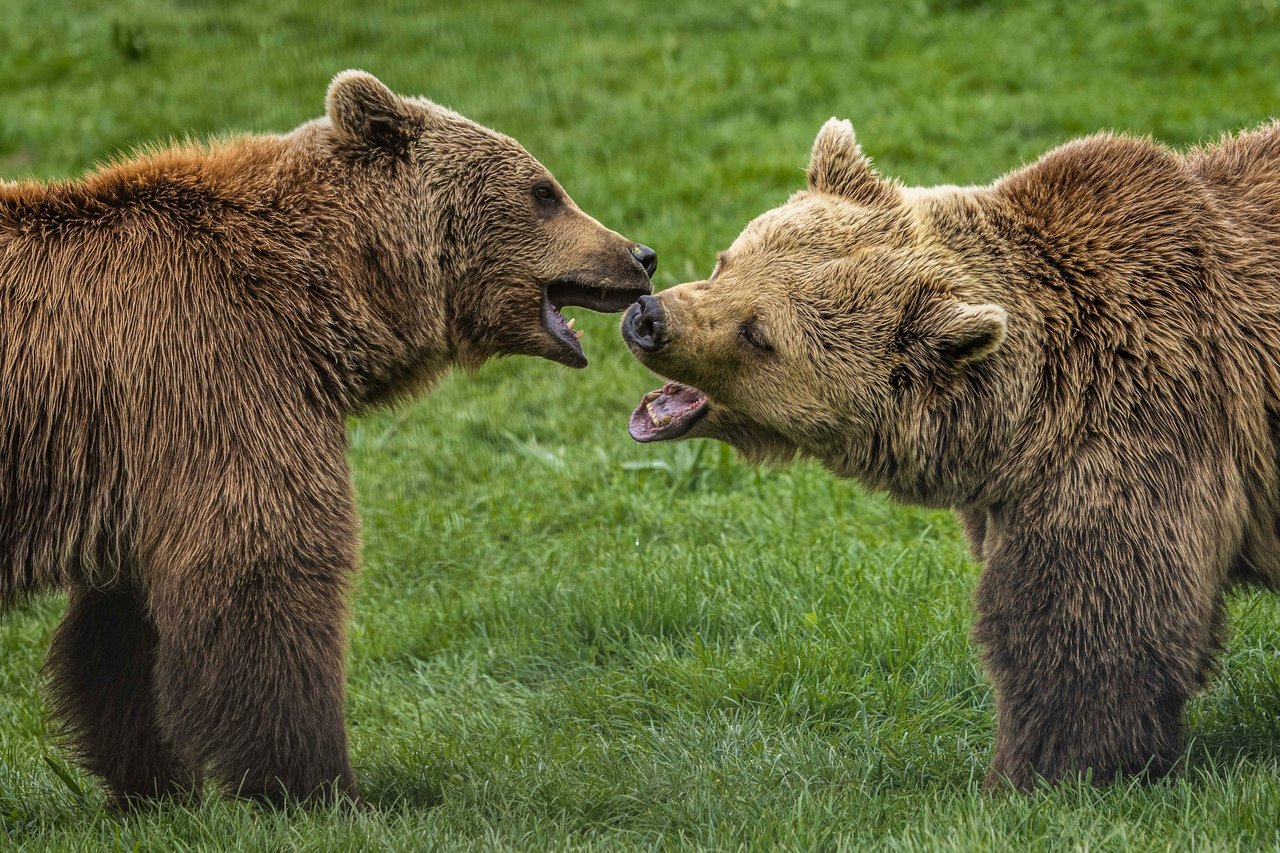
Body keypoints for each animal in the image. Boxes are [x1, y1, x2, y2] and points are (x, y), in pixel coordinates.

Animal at [0, 71, 655, 804]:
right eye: (544, 191)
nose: (641, 254)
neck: (324, 289)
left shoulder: (140, 452)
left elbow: (120, 631)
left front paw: (154, 782)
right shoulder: (218, 371)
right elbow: (264, 564)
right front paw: (320, 782)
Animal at [624, 114, 1280, 788]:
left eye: (759, 334)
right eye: (728, 261)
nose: (647, 317)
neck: (1023, 423)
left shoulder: (1139, 426)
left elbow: (1089, 622)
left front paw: (1046, 770)